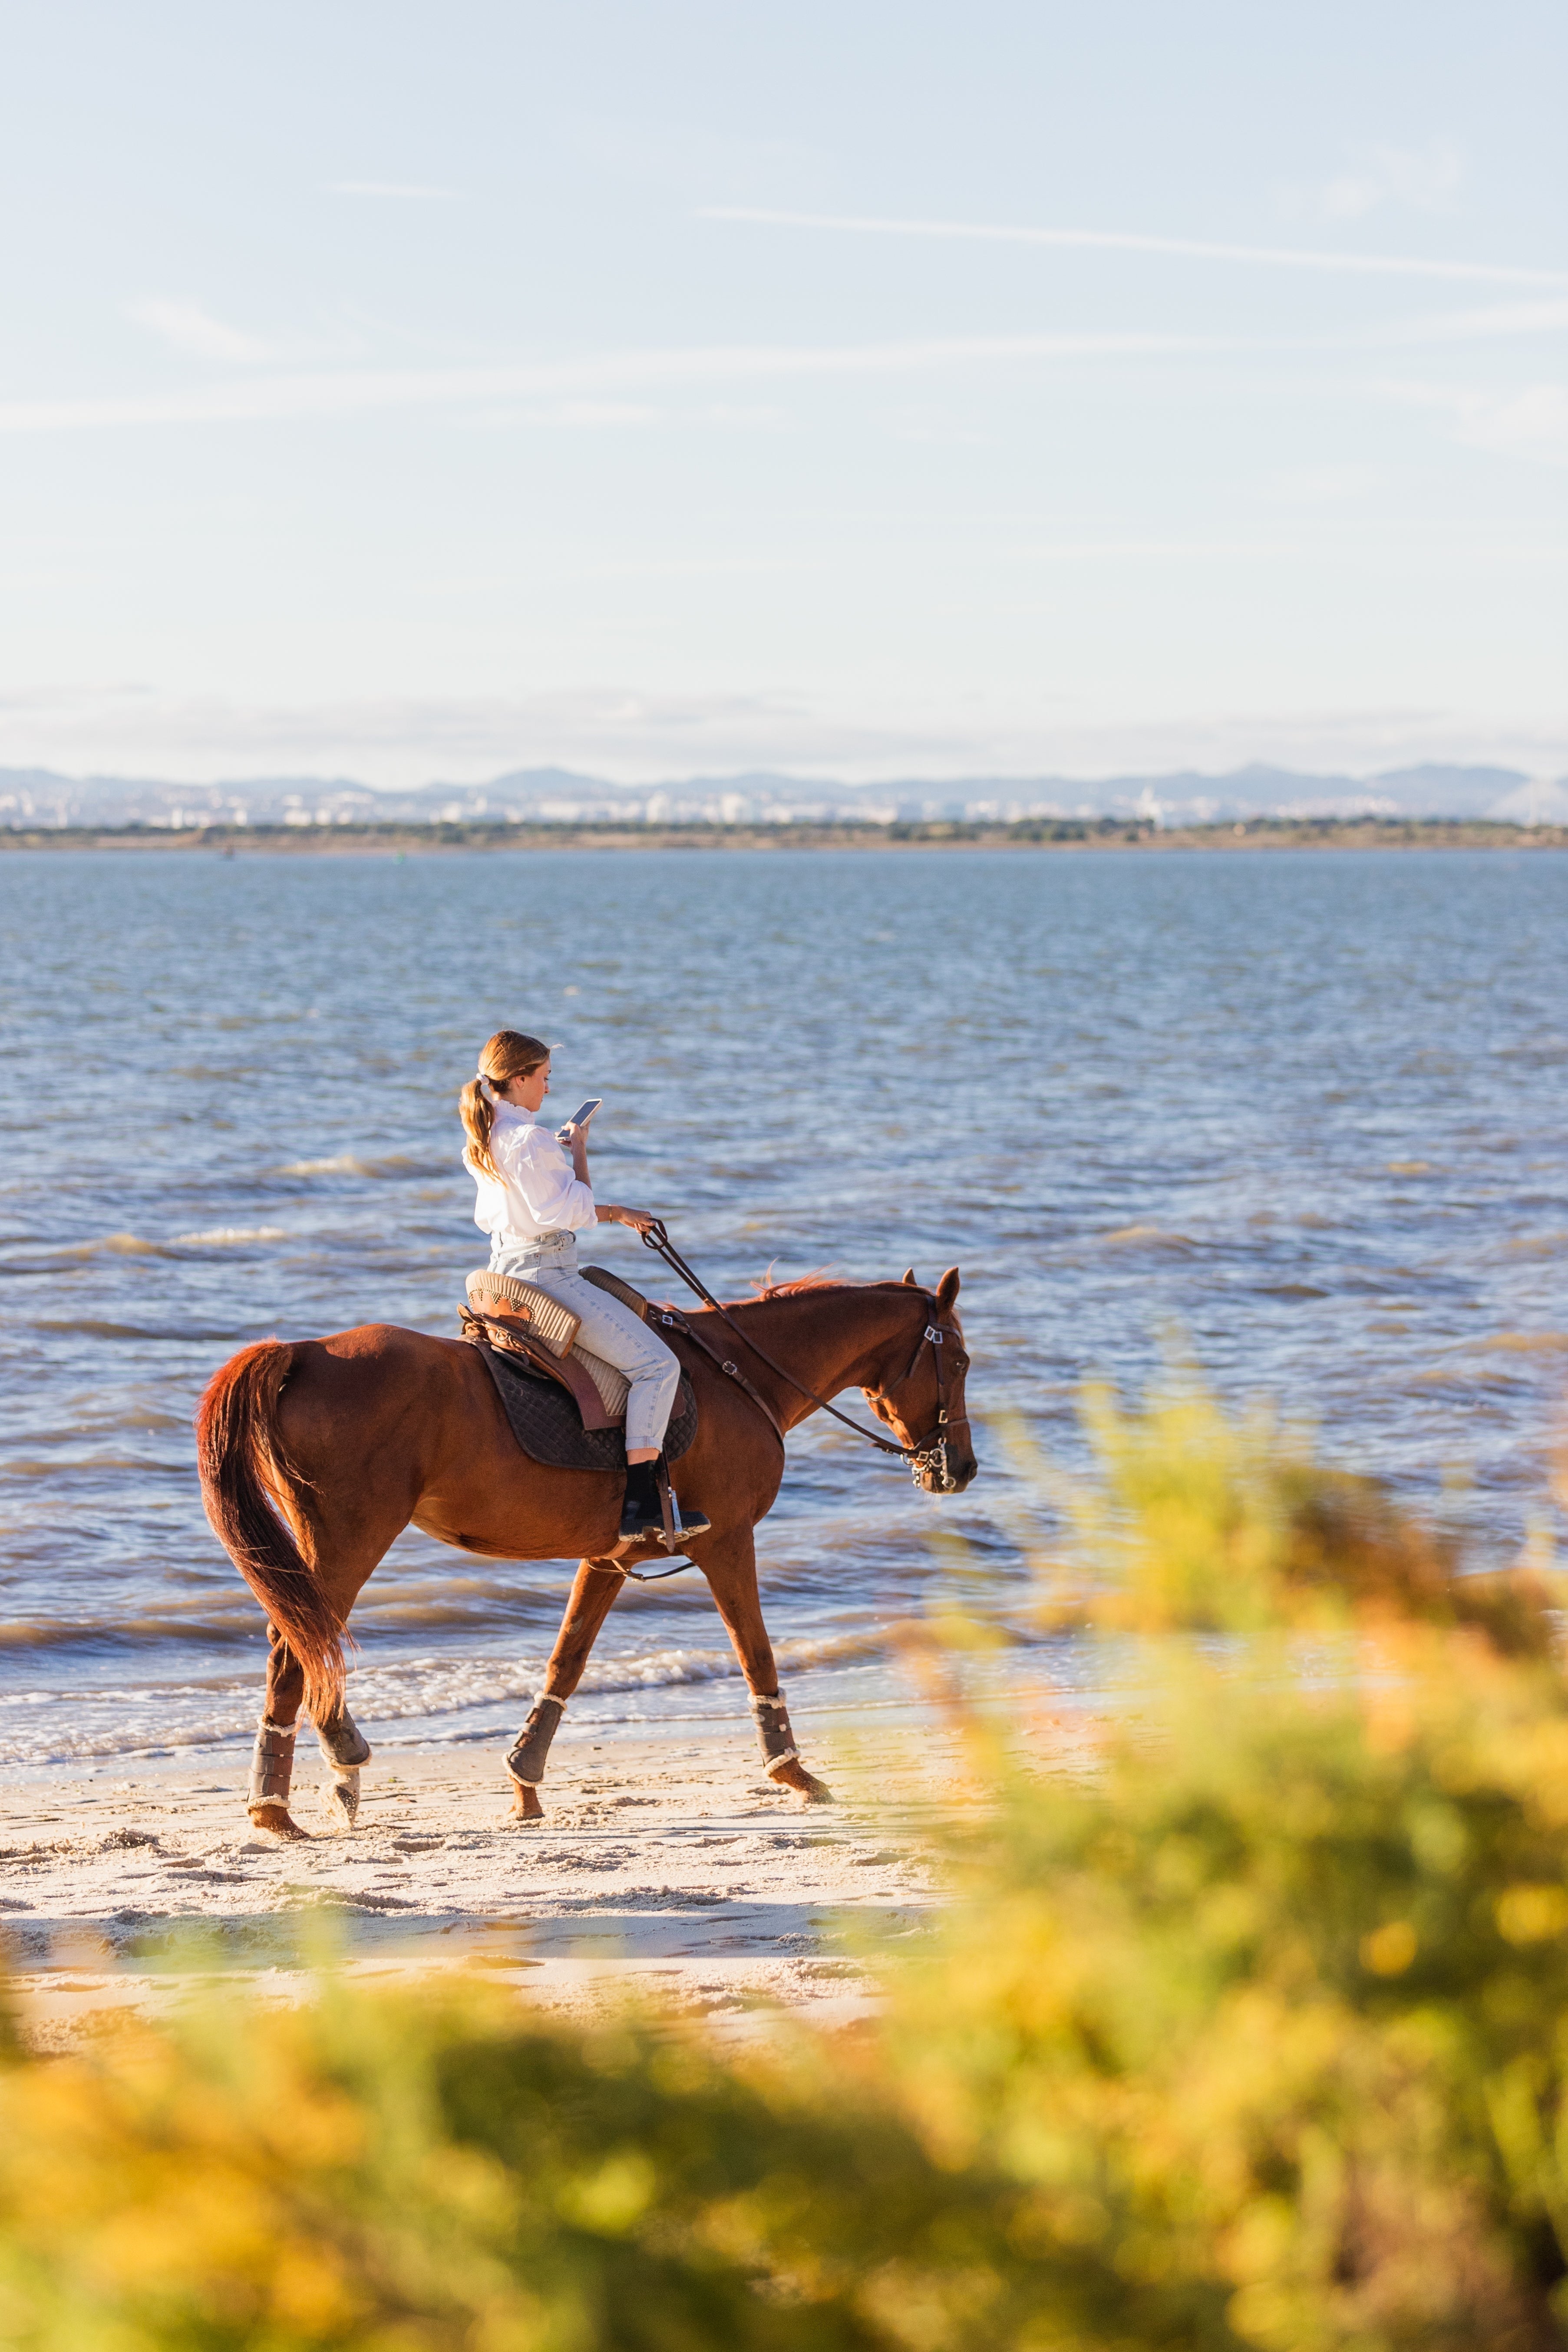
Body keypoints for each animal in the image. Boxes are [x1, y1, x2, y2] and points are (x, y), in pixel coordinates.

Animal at [192, 1270, 982, 1834]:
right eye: (961, 1361)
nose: (962, 1469)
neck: (737, 1375)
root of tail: (302, 1354)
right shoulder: (729, 1542)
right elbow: (755, 1651)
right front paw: (793, 1773)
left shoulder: (611, 1559)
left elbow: (566, 1662)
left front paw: (524, 1779)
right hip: (350, 1536)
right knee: (297, 1646)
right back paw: (302, 1790)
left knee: (297, 1641)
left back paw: (288, 1795)